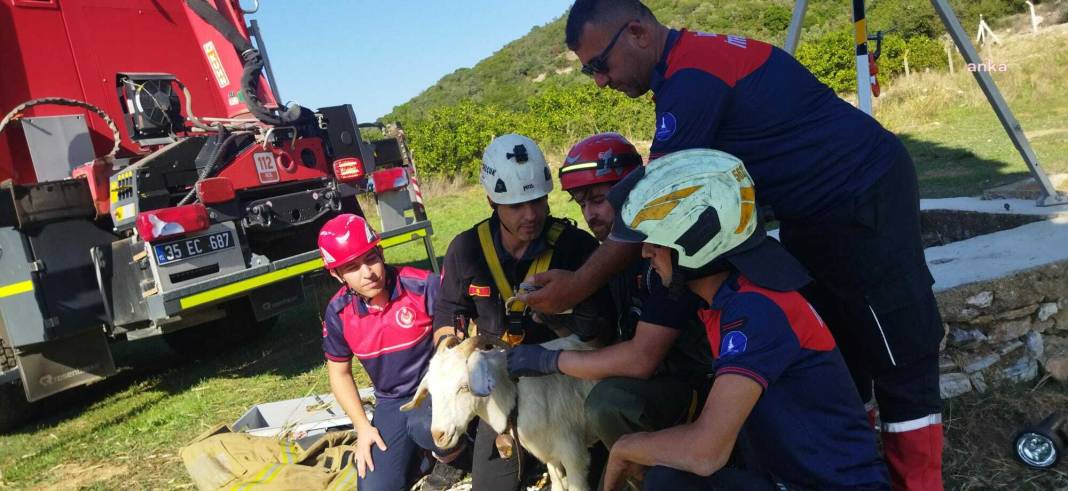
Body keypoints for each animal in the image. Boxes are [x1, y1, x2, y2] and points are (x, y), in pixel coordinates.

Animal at [401, 333, 602, 491]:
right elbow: (558, 483)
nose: (439, 435)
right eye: (431, 391)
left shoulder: (573, 453)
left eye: (465, 386)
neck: (517, 395)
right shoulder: (550, 455)